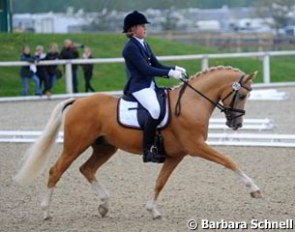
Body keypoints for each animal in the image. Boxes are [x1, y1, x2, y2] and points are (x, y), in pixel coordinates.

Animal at [15, 65, 262, 219]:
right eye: (242, 95)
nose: (237, 124)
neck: (191, 103)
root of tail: (78, 101)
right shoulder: (196, 146)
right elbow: (228, 161)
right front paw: (254, 190)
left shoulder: (176, 155)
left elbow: (160, 182)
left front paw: (152, 210)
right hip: (75, 146)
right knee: (56, 171)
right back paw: (46, 212)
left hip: (105, 147)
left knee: (87, 169)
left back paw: (104, 205)